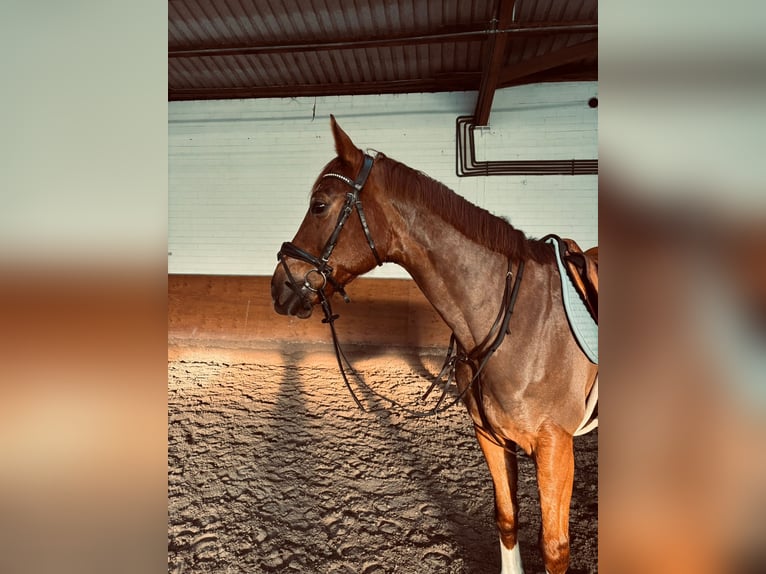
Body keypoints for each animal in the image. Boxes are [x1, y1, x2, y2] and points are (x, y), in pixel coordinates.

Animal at [270, 116, 598, 574]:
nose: (279, 286)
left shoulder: (555, 447)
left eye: (319, 205)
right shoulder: (490, 436)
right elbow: (507, 518)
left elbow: (554, 547)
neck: (521, 323)